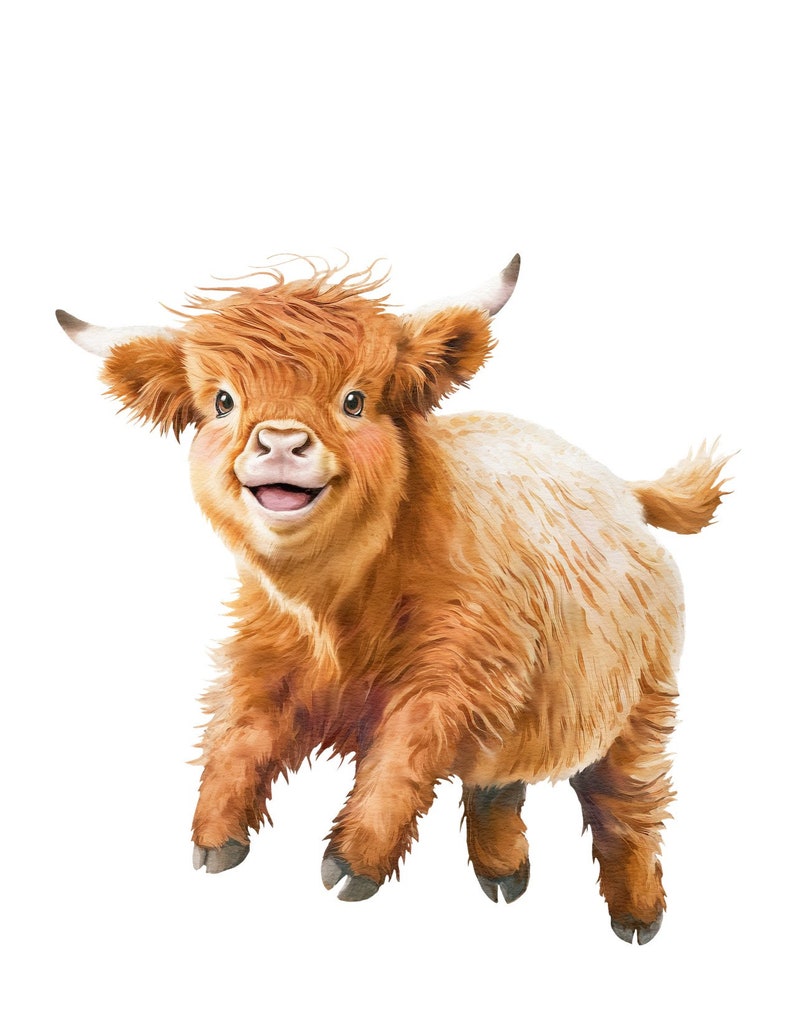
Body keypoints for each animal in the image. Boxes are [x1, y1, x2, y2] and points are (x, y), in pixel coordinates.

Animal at [56, 254, 727, 944]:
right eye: (222, 400)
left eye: (354, 400)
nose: (279, 442)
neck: (333, 609)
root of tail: (623, 488)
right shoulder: (261, 659)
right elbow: (237, 735)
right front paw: (214, 838)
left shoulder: (455, 673)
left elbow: (400, 757)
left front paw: (352, 864)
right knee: (496, 782)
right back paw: (504, 874)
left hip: (644, 701)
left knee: (627, 801)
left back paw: (637, 914)